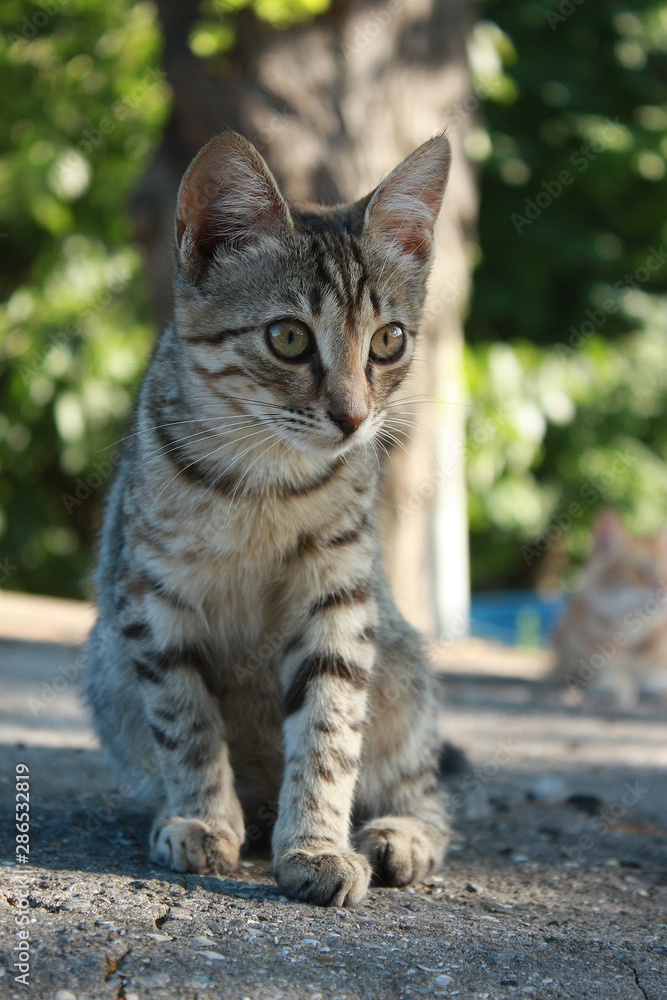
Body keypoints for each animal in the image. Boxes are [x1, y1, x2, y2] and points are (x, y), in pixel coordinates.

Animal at [81, 133, 452, 908]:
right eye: (287, 338)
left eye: (388, 341)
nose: (353, 417)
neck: (266, 487)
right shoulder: (152, 598)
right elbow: (186, 723)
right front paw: (200, 818)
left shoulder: (340, 600)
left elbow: (328, 732)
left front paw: (317, 845)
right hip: (106, 673)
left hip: (404, 670)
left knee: (426, 789)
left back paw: (398, 835)